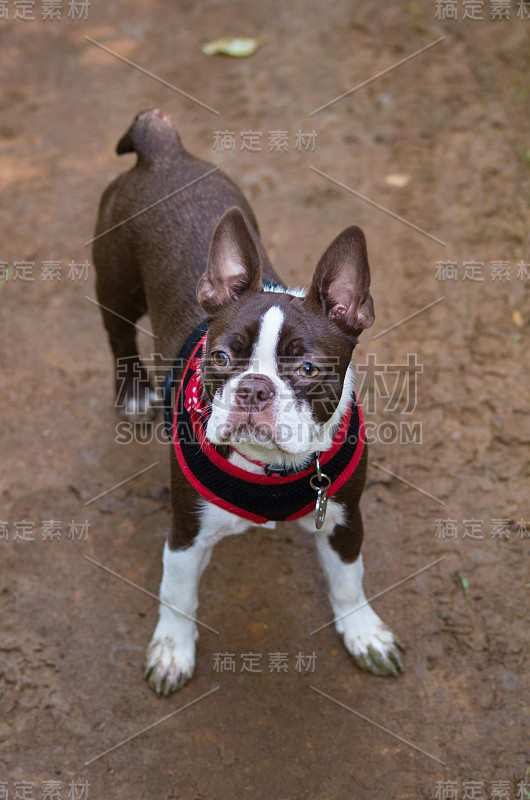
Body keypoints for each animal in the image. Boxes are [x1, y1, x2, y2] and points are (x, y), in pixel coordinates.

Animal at [93, 106, 402, 692]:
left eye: (307, 369)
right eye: (219, 358)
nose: (254, 388)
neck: (270, 467)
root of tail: (161, 147)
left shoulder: (344, 517)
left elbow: (349, 581)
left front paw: (364, 633)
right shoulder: (186, 532)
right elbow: (177, 595)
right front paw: (172, 650)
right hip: (114, 284)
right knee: (118, 335)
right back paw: (134, 392)